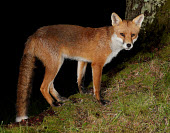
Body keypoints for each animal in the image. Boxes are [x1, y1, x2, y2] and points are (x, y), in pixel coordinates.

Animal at [15, 12, 144, 122]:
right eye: (122, 34)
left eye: (133, 35)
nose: (129, 45)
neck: (110, 41)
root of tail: (33, 34)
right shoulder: (97, 64)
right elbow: (97, 86)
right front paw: (100, 101)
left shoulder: (83, 60)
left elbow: (80, 80)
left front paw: (83, 92)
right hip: (55, 64)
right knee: (43, 87)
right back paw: (54, 104)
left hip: (56, 64)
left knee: (50, 85)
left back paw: (60, 98)